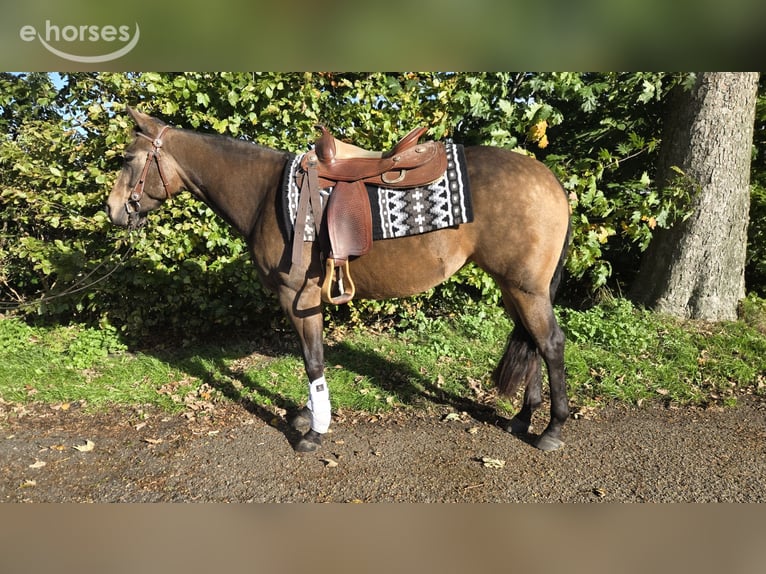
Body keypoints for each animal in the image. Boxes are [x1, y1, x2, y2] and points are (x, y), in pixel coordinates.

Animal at [106, 107, 571, 453]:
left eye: (128, 159)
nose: (112, 211)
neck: (265, 195)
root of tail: (552, 182)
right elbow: (312, 358)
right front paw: (309, 415)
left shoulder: (297, 296)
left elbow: (313, 360)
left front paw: (315, 430)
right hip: (514, 288)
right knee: (532, 342)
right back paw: (522, 419)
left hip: (525, 288)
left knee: (550, 343)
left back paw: (551, 430)